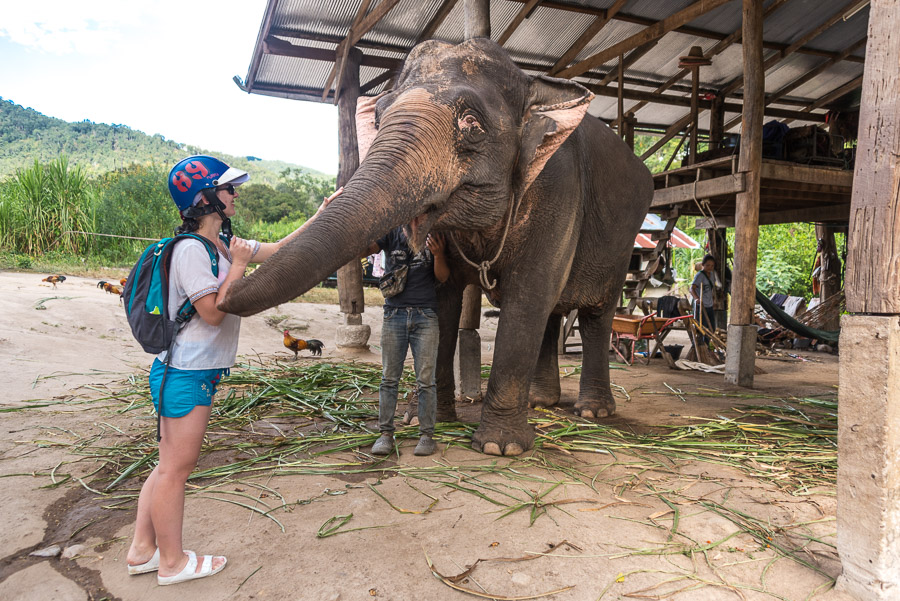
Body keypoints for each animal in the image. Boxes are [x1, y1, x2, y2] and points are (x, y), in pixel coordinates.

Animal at [221, 37, 652, 458]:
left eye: (471, 124)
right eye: (378, 119)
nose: (222, 289)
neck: (530, 81)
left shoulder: (558, 189)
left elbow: (529, 294)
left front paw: (500, 447)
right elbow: (444, 301)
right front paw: (426, 421)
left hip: (620, 243)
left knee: (596, 315)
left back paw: (592, 411)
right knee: (552, 312)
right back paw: (540, 402)